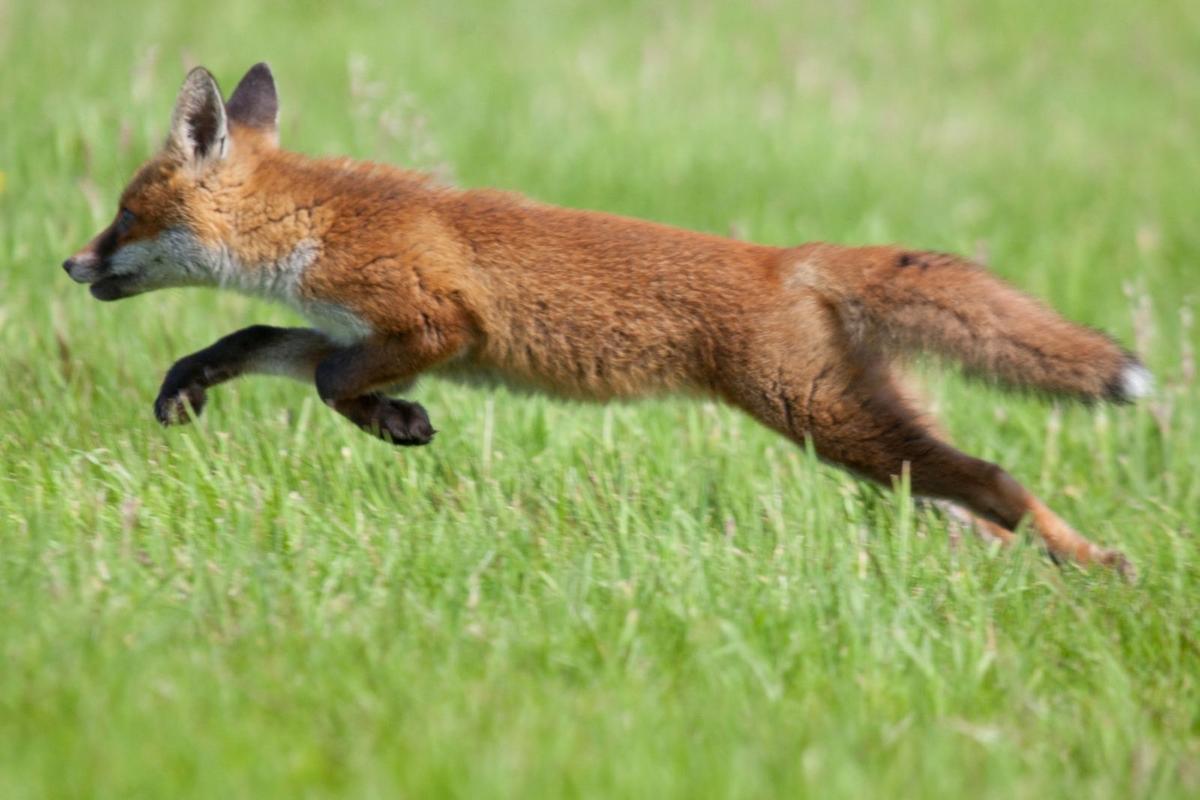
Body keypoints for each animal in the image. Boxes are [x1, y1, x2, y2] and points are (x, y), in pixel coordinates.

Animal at [64, 63, 1151, 577]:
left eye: (124, 213)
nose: (70, 264)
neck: (315, 223)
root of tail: (786, 259)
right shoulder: (350, 326)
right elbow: (252, 342)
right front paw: (189, 383)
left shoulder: (436, 323)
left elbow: (336, 385)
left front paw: (401, 424)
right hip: (874, 440)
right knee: (969, 505)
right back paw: (1046, 571)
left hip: (824, 422)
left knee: (997, 480)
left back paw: (1093, 567)